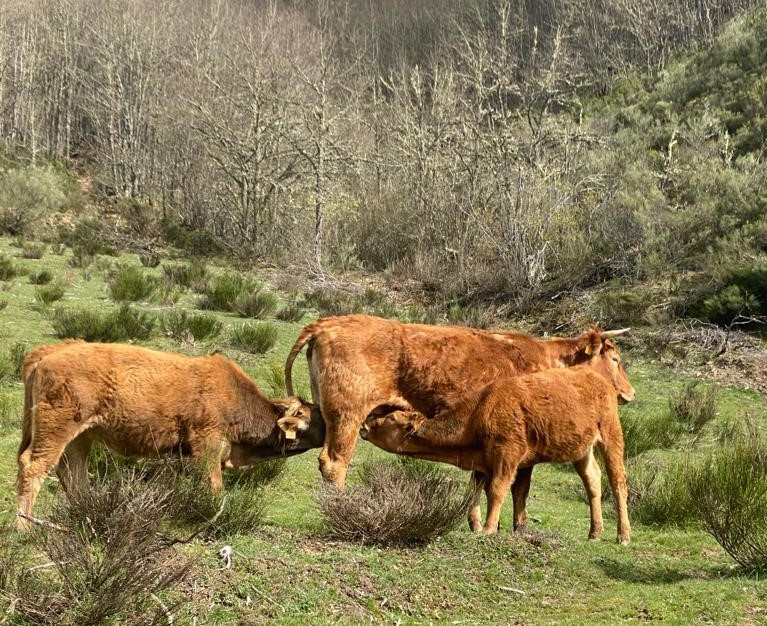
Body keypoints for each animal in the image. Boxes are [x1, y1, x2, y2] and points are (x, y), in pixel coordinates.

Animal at [17, 342, 324, 528]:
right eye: (319, 416)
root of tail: (48, 352)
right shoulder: (207, 443)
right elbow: (213, 483)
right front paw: (213, 514)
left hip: (80, 437)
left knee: (73, 473)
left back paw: (87, 514)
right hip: (57, 430)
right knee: (33, 466)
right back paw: (24, 526)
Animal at [284, 312, 632, 488]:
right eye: (615, 358)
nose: (630, 393)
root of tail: (329, 322)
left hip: (325, 411)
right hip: (348, 416)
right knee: (335, 462)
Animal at [364, 336, 640, 540]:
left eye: (391, 419)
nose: (365, 424)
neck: (480, 411)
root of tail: (596, 378)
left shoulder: (508, 457)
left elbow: (498, 490)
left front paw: (488, 529)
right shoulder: (484, 461)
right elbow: (478, 489)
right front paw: (480, 525)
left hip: (611, 438)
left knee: (618, 482)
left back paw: (623, 535)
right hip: (582, 451)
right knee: (592, 480)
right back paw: (594, 533)